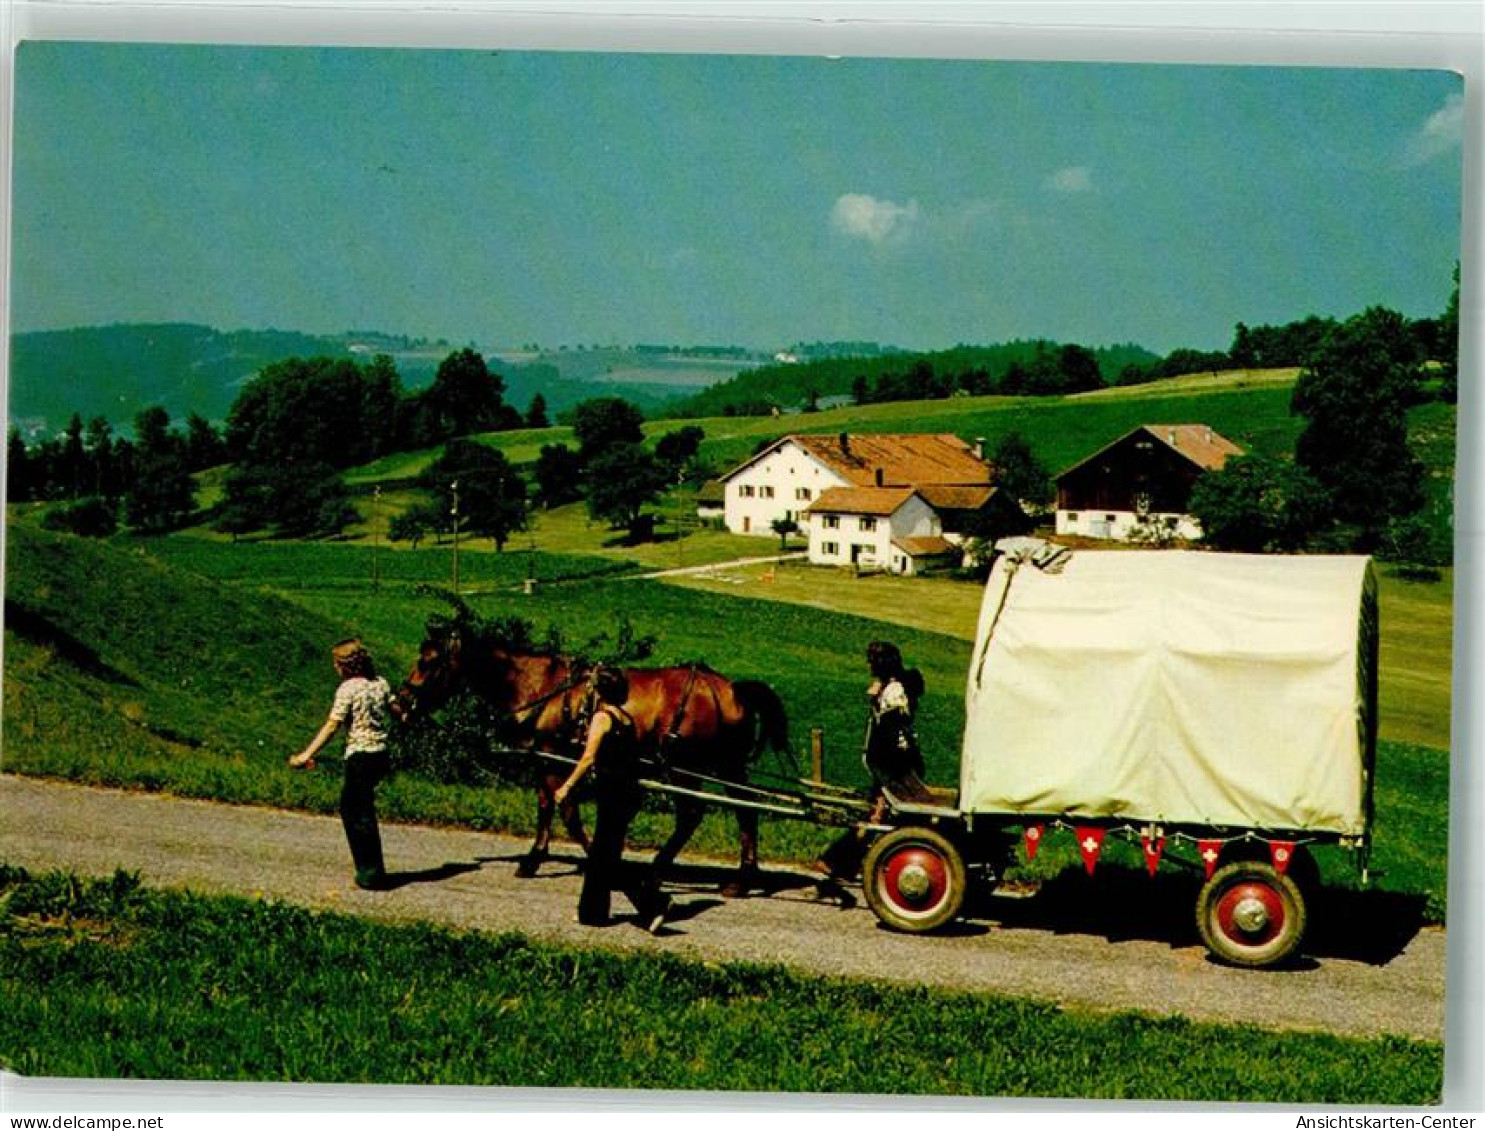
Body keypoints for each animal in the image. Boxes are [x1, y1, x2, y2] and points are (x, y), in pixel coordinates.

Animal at [392, 626, 790, 890]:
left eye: (428, 662)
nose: (399, 705)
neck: (541, 687)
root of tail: (731, 689)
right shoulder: (552, 759)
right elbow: (552, 807)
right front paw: (545, 858)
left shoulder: (553, 758)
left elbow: (562, 809)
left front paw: (583, 863)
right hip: (728, 766)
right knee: (745, 811)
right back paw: (743, 877)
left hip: (685, 767)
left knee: (693, 814)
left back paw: (660, 869)